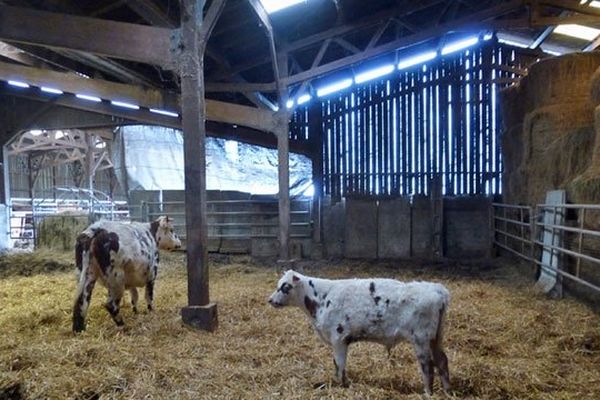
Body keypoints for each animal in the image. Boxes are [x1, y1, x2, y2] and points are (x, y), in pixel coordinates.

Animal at [268, 270, 450, 396]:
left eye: (285, 286)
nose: (270, 300)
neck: (321, 299)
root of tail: (437, 289)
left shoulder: (338, 338)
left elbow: (339, 364)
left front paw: (342, 384)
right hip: (436, 337)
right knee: (442, 361)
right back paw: (447, 391)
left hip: (421, 338)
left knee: (428, 366)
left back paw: (427, 393)